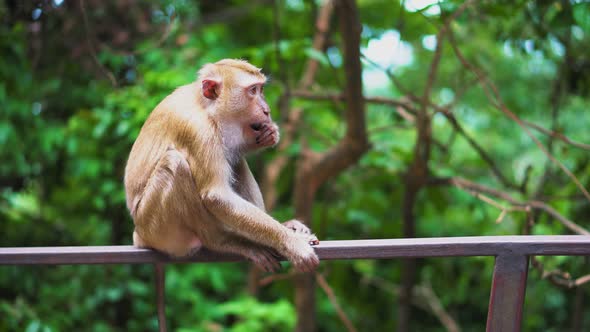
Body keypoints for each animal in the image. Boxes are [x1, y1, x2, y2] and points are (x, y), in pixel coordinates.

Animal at [122, 59, 322, 272]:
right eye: (252, 91)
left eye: (261, 89)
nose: (266, 110)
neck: (206, 107)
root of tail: (139, 235)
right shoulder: (198, 131)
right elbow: (216, 195)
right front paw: (291, 243)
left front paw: (270, 133)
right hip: (157, 229)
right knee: (175, 164)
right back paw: (223, 241)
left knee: (236, 161)